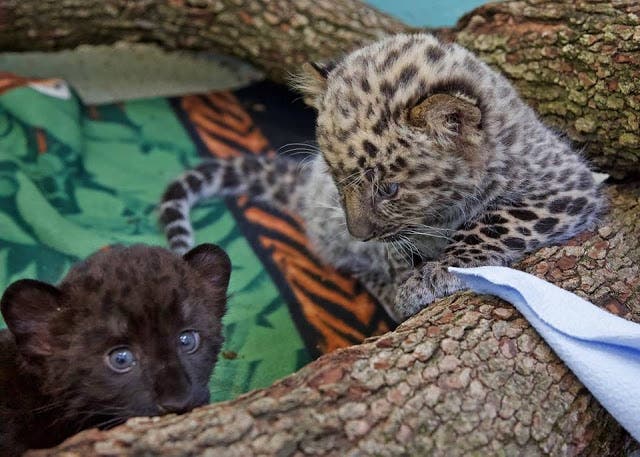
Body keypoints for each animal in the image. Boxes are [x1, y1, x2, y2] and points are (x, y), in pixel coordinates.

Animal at [159, 33, 605, 322]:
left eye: (389, 188)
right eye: (337, 178)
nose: (358, 234)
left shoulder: (566, 185)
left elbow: (494, 223)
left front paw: (439, 272)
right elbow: (394, 255)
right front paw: (408, 282)